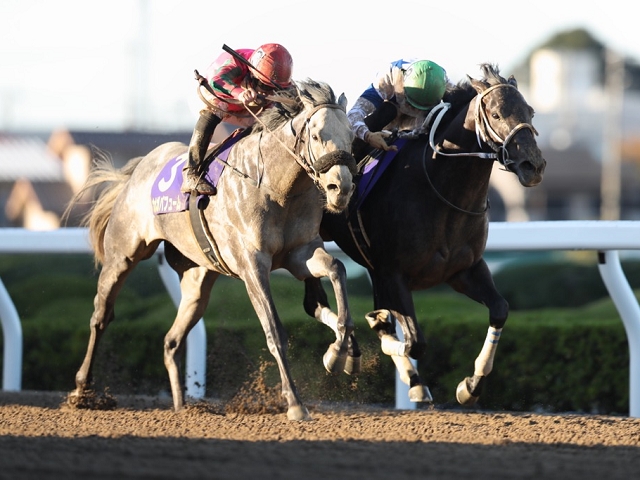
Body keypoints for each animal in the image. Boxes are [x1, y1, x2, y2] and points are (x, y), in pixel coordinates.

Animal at [67, 79, 358, 420]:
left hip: (198, 281)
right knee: (101, 316)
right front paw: (296, 403)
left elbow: (337, 270)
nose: (342, 189)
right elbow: (274, 331)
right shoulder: (252, 266)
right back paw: (82, 390)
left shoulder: (300, 254)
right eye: (316, 135)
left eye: (352, 137)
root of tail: (139, 168)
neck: (276, 187)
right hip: (122, 256)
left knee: (171, 340)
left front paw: (341, 352)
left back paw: (182, 406)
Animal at [304, 63, 544, 406]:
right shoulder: (395, 274)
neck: (443, 194)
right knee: (313, 300)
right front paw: (370, 335)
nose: (533, 166)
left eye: (531, 112)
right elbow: (414, 341)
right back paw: (348, 351)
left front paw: (470, 385)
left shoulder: (463, 270)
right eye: (497, 114)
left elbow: (500, 310)